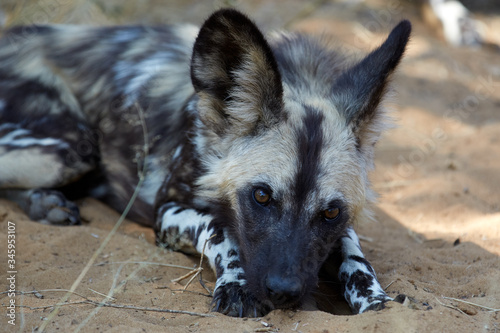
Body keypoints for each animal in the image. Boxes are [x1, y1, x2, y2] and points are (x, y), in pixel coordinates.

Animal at [0, 9, 410, 316]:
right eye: (261, 196)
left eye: (330, 213)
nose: (283, 291)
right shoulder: (167, 211)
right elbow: (219, 229)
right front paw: (237, 285)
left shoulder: (342, 226)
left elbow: (354, 254)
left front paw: (375, 298)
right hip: (74, 147)